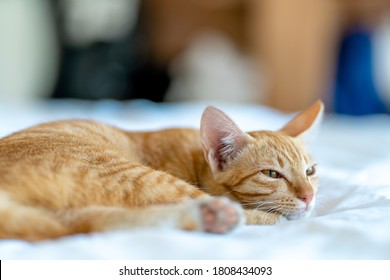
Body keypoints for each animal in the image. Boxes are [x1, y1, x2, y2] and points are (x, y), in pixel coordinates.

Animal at [0, 100, 322, 241]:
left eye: (310, 171)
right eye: (272, 174)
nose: (308, 197)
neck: (195, 157)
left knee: (83, 225)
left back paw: (210, 217)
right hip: (134, 174)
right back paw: (226, 215)